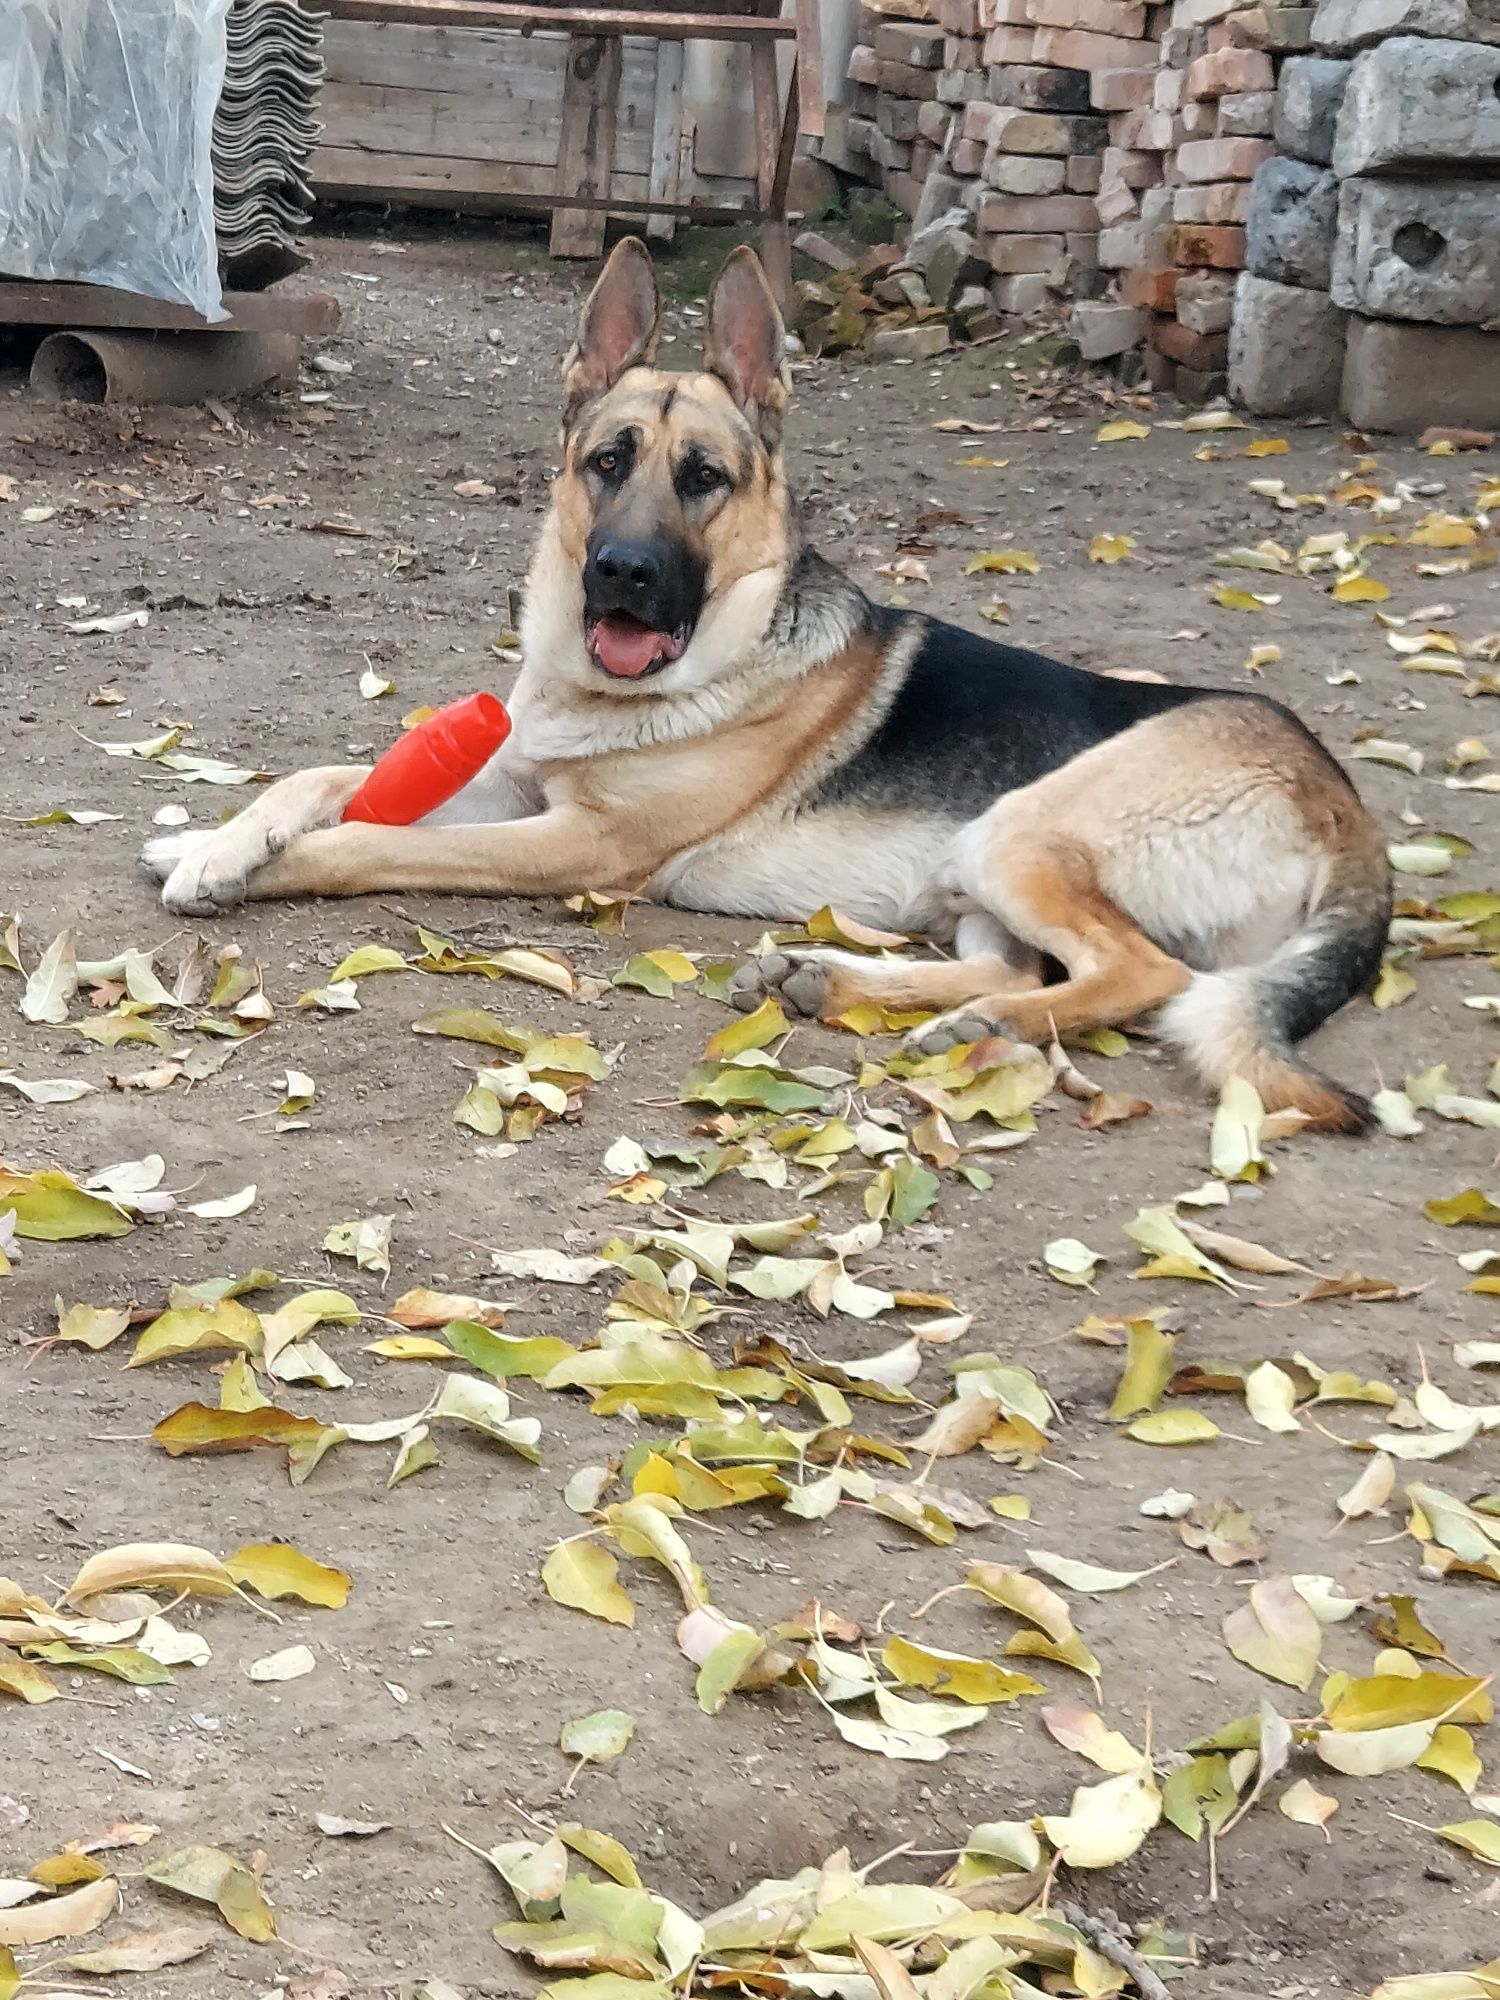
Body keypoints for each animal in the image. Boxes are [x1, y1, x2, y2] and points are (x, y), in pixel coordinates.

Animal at [147, 238, 1392, 1128]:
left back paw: (962, 1025)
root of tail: (1346, 808)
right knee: (1028, 966)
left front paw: (266, 867)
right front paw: (211, 840)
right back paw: (855, 989)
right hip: (971, 874)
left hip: (1023, 829)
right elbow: (319, 774)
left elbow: (366, 836)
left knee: (1138, 971)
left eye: (705, 478)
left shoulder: (578, 842)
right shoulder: (510, 781)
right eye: (607, 463)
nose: (623, 574)